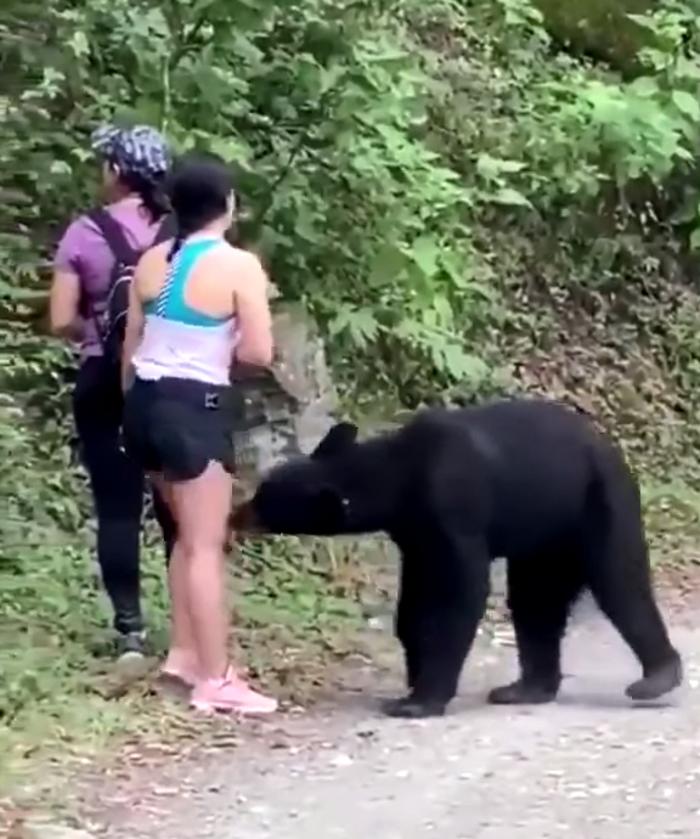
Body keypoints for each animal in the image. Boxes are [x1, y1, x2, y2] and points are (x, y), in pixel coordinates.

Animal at [232, 398, 680, 716]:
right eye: (262, 490)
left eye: (264, 503)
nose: (234, 514)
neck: (399, 475)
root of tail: (610, 448)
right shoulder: (415, 533)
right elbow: (416, 598)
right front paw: (414, 672)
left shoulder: (451, 506)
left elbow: (459, 593)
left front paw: (419, 699)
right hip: (543, 540)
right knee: (534, 602)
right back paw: (525, 689)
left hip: (597, 505)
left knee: (620, 583)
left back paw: (657, 677)